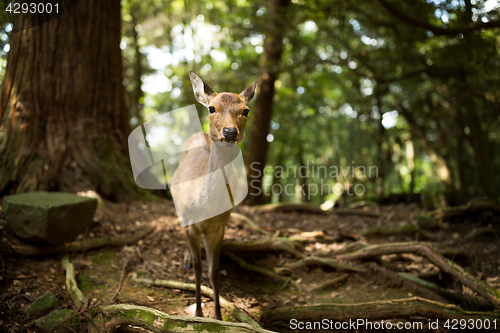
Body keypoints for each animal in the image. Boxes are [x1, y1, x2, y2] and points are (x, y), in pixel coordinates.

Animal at [173, 70, 258, 320]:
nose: (230, 132)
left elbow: (213, 271)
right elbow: (199, 268)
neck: (205, 207)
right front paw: (199, 312)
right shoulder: (190, 222)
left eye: (245, 110)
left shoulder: (220, 226)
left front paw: (219, 317)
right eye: (212, 108)